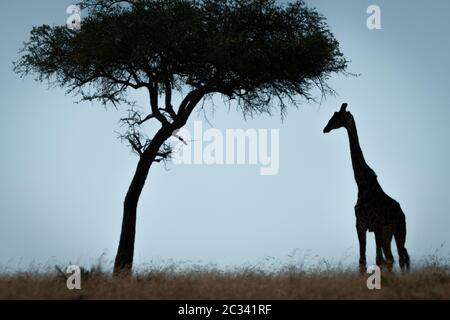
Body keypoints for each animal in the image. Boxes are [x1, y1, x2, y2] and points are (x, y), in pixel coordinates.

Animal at [324, 103, 408, 272]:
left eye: (337, 117)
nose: (325, 128)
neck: (362, 185)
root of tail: (402, 212)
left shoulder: (376, 225)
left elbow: (378, 260)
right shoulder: (360, 225)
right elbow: (362, 260)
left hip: (399, 230)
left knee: (400, 258)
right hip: (387, 234)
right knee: (392, 258)